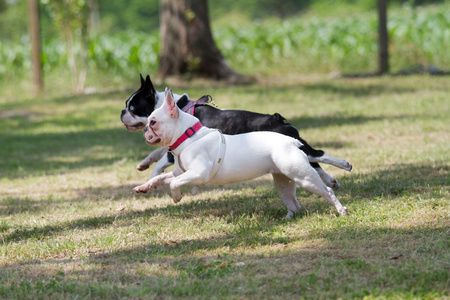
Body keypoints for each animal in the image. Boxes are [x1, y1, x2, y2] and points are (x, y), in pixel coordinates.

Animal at [119, 75, 352, 189]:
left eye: (133, 108)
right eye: (126, 106)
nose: (122, 112)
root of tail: (277, 117)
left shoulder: (176, 146)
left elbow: (161, 161)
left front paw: (153, 175)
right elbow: (157, 153)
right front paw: (145, 163)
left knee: (319, 154)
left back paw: (344, 164)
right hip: (292, 145)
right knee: (313, 161)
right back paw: (331, 180)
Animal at [134, 88, 348, 219]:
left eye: (153, 122)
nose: (145, 129)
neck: (188, 135)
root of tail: (289, 140)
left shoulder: (198, 174)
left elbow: (173, 183)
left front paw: (176, 197)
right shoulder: (180, 173)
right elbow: (161, 178)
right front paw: (144, 186)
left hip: (304, 177)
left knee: (326, 190)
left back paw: (341, 209)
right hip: (283, 181)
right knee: (294, 204)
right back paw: (288, 218)